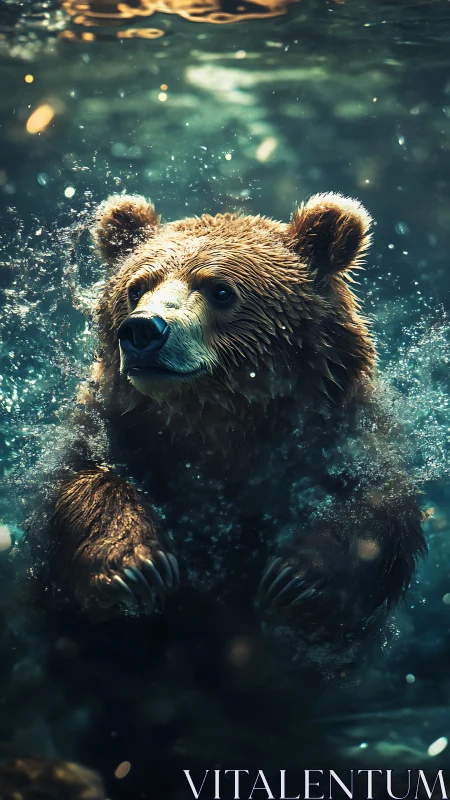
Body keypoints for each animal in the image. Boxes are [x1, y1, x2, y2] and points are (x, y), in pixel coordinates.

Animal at [30, 192, 426, 643]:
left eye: (220, 289)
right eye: (136, 287)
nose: (143, 330)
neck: (220, 419)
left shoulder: (342, 431)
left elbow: (380, 507)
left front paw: (295, 582)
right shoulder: (112, 426)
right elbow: (78, 481)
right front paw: (138, 568)